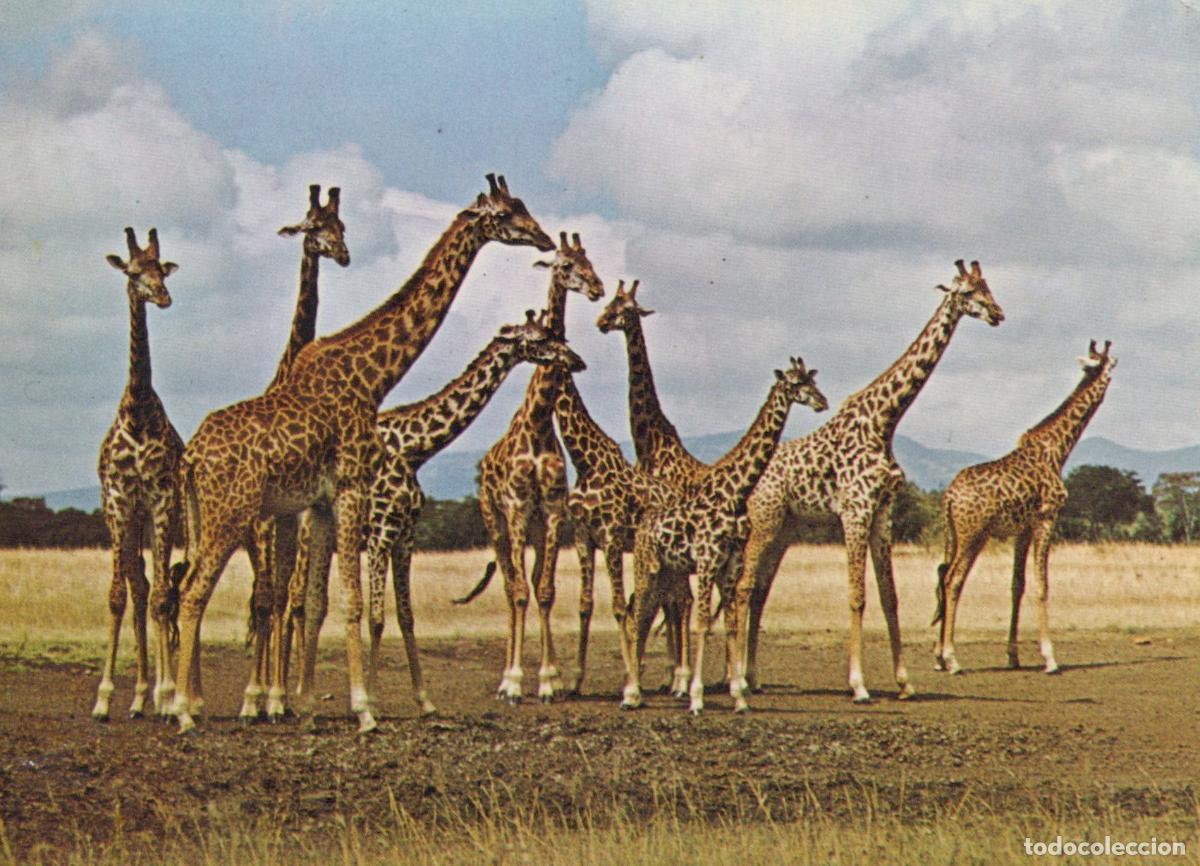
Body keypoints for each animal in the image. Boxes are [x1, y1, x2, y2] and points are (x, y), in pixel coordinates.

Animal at [168, 175, 554, 734]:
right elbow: (351, 603)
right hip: (234, 513)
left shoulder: (323, 503)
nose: (544, 238)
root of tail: (191, 457)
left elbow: (316, 602)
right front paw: (364, 709)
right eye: (506, 215)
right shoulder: (352, 489)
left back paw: (192, 701)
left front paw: (308, 705)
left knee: (190, 591)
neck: (371, 377)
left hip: (202, 515)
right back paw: (184, 710)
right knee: (197, 592)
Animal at [472, 231, 605, 703]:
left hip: (530, 528)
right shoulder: (514, 507)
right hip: (495, 522)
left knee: (526, 581)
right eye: (564, 265)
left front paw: (550, 679)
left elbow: (545, 591)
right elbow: (519, 593)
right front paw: (514, 681)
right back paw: (504, 680)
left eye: (589, 261)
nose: (597, 288)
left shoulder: (551, 510)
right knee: (510, 585)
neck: (538, 421)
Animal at [622, 358, 828, 714]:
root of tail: (643, 526)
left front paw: (739, 698)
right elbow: (703, 624)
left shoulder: (729, 567)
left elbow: (730, 625)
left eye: (811, 380)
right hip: (645, 566)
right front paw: (696, 698)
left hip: (666, 571)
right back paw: (630, 694)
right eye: (794, 383)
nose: (822, 402)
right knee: (635, 617)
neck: (734, 494)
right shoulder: (707, 563)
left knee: (642, 614)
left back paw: (638, 693)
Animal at [730, 260, 1004, 712]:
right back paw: (736, 682)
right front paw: (858, 685)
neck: (884, 421)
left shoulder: (882, 514)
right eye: (967, 292)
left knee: (757, 592)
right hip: (763, 522)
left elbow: (890, 597)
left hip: (784, 530)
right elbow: (857, 596)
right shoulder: (855, 511)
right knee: (742, 587)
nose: (997, 314)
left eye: (989, 287)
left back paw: (752, 679)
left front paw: (904, 682)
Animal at [933, 340, 1117, 676]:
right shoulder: (1047, 517)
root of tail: (949, 497)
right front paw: (1049, 658)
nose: (1113, 372)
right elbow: (1043, 584)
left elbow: (1017, 584)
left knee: (944, 577)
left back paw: (939, 657)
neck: (1057, 450)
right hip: (972, 534)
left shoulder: (1023, 529)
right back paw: (952, 660)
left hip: (954, 535)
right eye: (1107, 362)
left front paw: (1013, 656)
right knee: (953, 580)